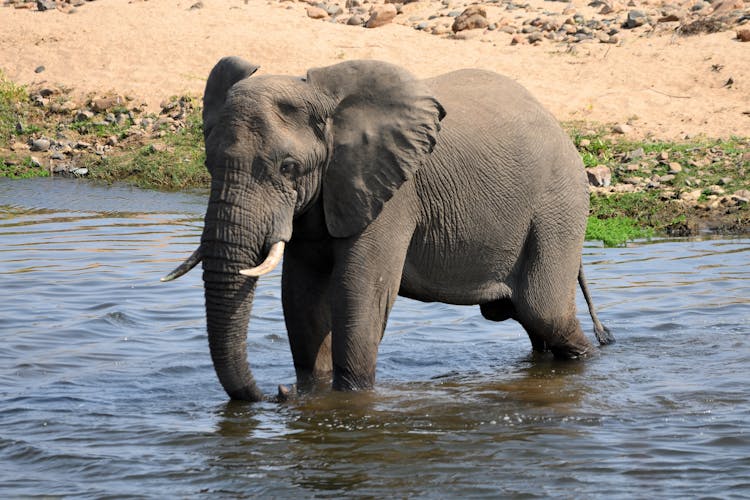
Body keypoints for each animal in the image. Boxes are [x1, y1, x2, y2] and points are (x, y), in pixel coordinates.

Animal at [162, 56, 612, 400]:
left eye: (288, 167)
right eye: (209, 163)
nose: (277, 392)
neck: (326, 100)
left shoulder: (392, 193)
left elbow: (357, 291)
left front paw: (349, 397)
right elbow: (302, 294)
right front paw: (311, 393)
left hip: (558, 207)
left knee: (544, 313)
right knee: (534, 324)